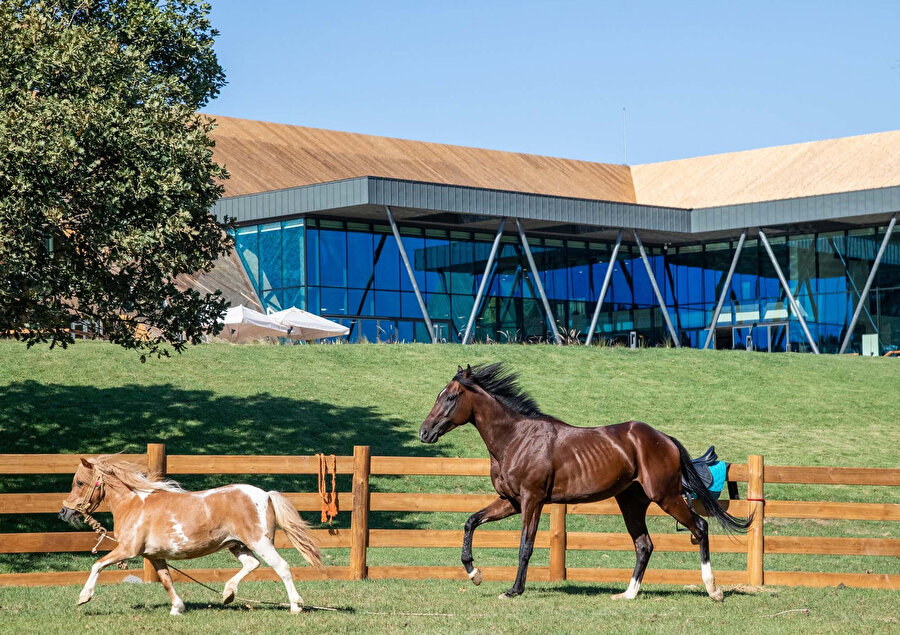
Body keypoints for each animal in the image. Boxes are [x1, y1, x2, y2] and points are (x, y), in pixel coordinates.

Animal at [59, 458, 322, 616]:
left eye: (79, 482)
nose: (64, 512)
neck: (133, 505)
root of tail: (265, 494)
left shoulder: (127, 549)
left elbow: (97, 564)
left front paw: (83, 597)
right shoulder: (153, 555)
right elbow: (166, 580)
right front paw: (177, 608)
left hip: (260, 542)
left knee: (282, 567)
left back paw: (296, 606)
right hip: (236, 544)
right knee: (251, 564)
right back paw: (228, 594)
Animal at [418, 366, 748, 604]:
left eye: (450, 397)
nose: (424, 431)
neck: (516, 438)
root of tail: (663, 438)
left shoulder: (532, 500)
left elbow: (525, 545)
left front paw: (513, 590)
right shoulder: (510, 501)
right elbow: (471, 521)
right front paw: (474, 572)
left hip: (665, 496)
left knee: (700, 528)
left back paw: (714, 590)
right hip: (632, 502)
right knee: (644, 545)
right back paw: (627, 594)